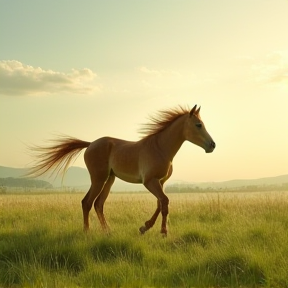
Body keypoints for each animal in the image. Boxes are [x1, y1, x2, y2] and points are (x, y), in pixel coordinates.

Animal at [27, 104, 216, 235]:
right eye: (198, 125)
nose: (212, 145)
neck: (160, 148)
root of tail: (91, 144)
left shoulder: (160, 182)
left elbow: (161, 203)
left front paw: (145, 227)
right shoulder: (149, 182)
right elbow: (164, 202)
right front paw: (162, 231)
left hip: (110, 179)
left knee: (98, 204)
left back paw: (107, 231)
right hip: (99, 178)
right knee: (87, 202)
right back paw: (87, 232)